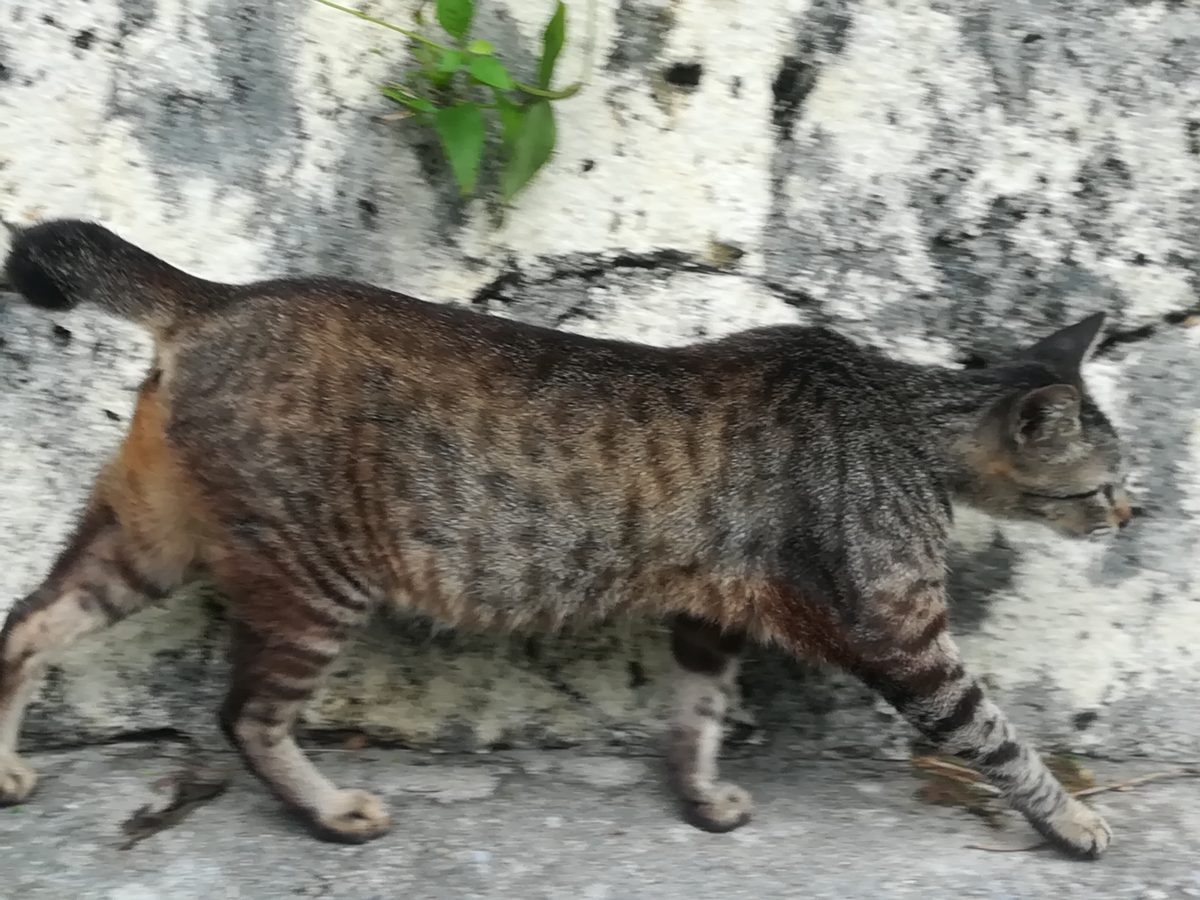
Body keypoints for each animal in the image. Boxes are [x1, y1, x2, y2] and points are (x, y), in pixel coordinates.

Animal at [0, 220, 1133, 858]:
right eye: (1108, 479)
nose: (1135, 512)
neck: (905, 421)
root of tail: (222, 296)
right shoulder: (906, 638)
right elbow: (999, 736)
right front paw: (1071, 821)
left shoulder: (708, 616)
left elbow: (694, 717)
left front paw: (700, 798)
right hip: (314, 581)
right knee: (246, 716)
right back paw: (331, 813)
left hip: (147, 538)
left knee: (25, 625)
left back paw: (6, 771)